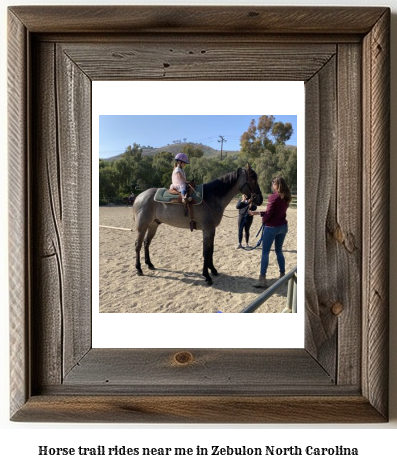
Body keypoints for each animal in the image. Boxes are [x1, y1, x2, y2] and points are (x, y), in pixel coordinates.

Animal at [132, 164, 262, 286]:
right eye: (253, 178)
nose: (260, 199)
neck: (212, 197)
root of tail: (139, 196)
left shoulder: (212, 230)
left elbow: (211, 250)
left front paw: (213, 270)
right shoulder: (207, 230)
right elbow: (206, 252)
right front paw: (207, 276)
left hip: (153, 225)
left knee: (146, 243)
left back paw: (150, 264)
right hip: (142, 227)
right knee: (138, 245)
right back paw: (139, 269)